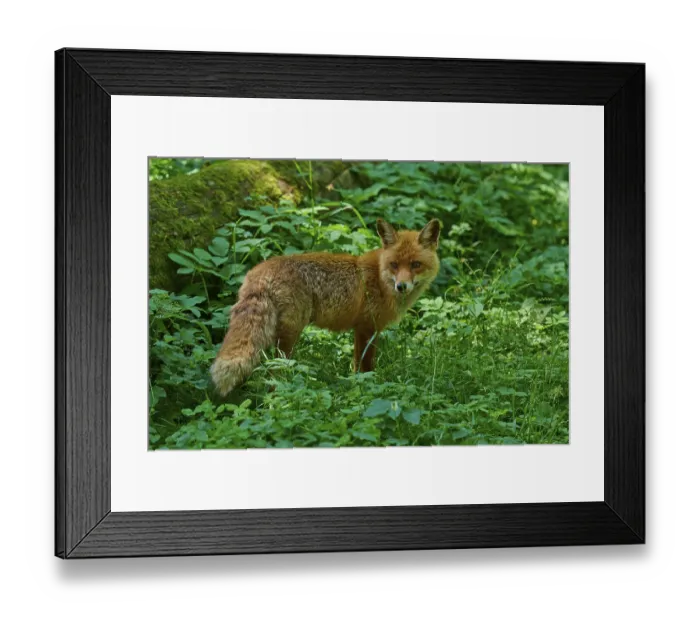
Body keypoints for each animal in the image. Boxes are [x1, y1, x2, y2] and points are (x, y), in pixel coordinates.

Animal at [210, 218, 441, 396]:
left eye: (415, 265)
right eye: (394, 265)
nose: (401, 286)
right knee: (276, 370)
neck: (380, 277)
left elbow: (355, 365)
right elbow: (365, 367)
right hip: (290, 333)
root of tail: (260, 270)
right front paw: (367, 388)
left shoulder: (360, 329)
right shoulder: (368, 328)